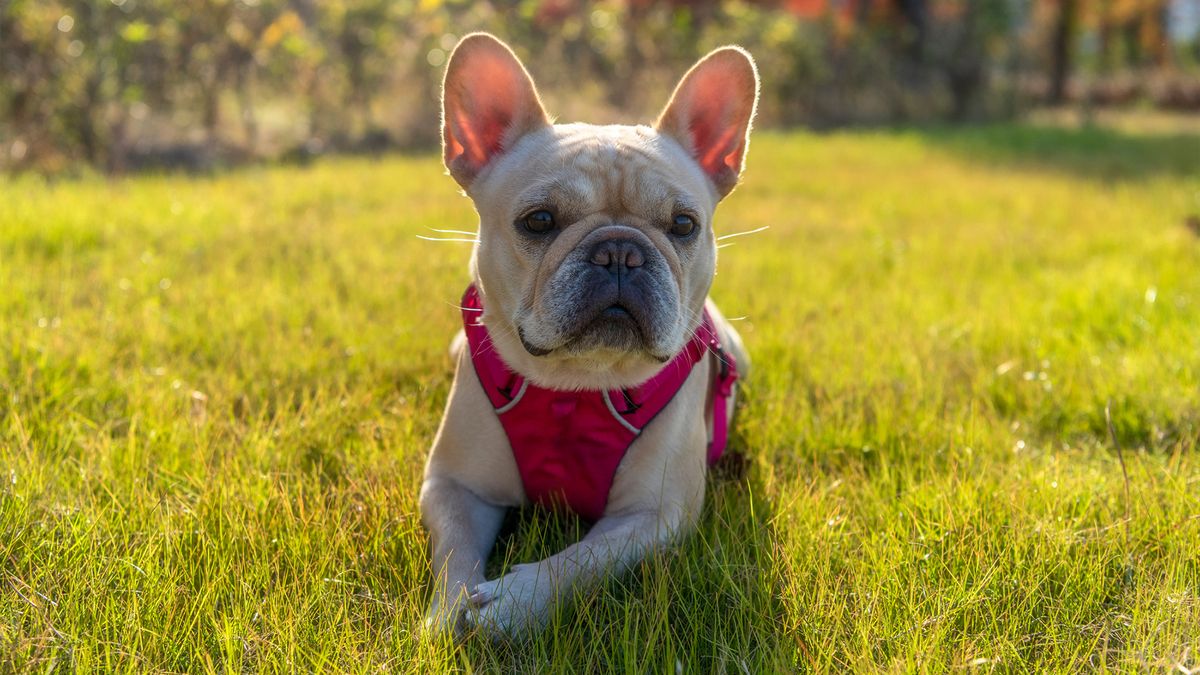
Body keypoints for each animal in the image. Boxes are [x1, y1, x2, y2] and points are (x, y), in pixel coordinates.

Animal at [422, 32, 758, 634]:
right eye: (538, 221)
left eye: (683, 225)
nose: (619, 251)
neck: (574, 388)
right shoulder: (452, 485)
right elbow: (454, 551)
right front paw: (450, 612)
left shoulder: (652, 516)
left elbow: (582, 560)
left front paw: (515, 601)